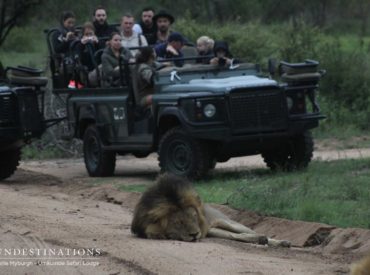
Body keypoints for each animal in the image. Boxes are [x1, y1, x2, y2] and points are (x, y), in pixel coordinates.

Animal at [132, 175, 290, 248]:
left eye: (195, 217)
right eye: (179, 223)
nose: (195, 234)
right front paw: (157, 234)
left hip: (228, 222)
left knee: (251, 232)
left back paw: (282, 242)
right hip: (214, 230)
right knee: (239, 236)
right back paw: (261, 240)